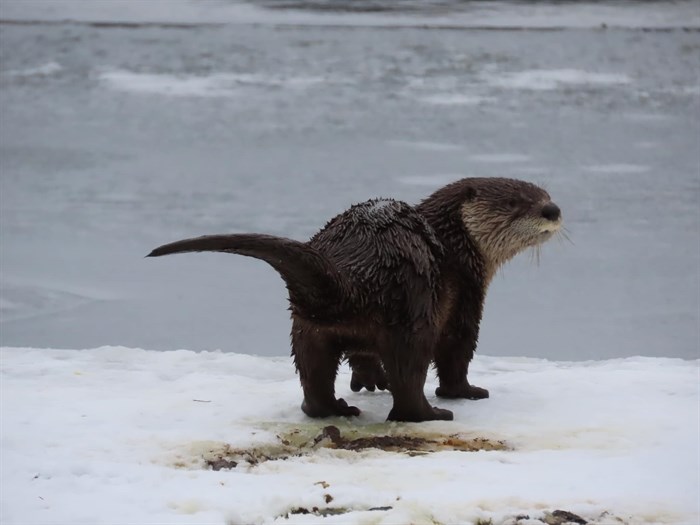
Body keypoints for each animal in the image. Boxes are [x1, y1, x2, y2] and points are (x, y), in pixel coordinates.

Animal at [149, 177, 564, 422]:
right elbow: (456, 349)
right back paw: (431, 413)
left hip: (308, 328)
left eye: (544, 194)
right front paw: (465, 392)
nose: (553, 209)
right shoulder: (466, 290)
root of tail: (357, 269)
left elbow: (362, 354)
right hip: (413, 311)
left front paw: (369, 381)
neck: (455, 242)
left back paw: (334, 409)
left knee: (313, 373)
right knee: (410, 373)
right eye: (515, 203)